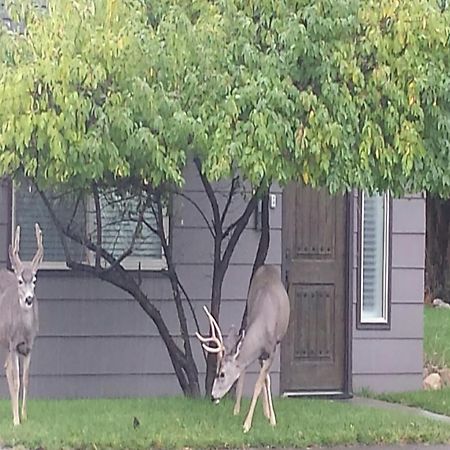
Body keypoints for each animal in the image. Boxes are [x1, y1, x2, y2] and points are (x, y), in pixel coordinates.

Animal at [196, 264, 288, 432]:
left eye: (222, 374)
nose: (212, 396)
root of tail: (267, 266)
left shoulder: (272, 350)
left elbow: (259, 383)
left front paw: (248, 424)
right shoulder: (259, 352)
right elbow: (255, 378)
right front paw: (240, 414)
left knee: (264, 378)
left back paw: (268, 415)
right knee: (257, 375)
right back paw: (251, 411)